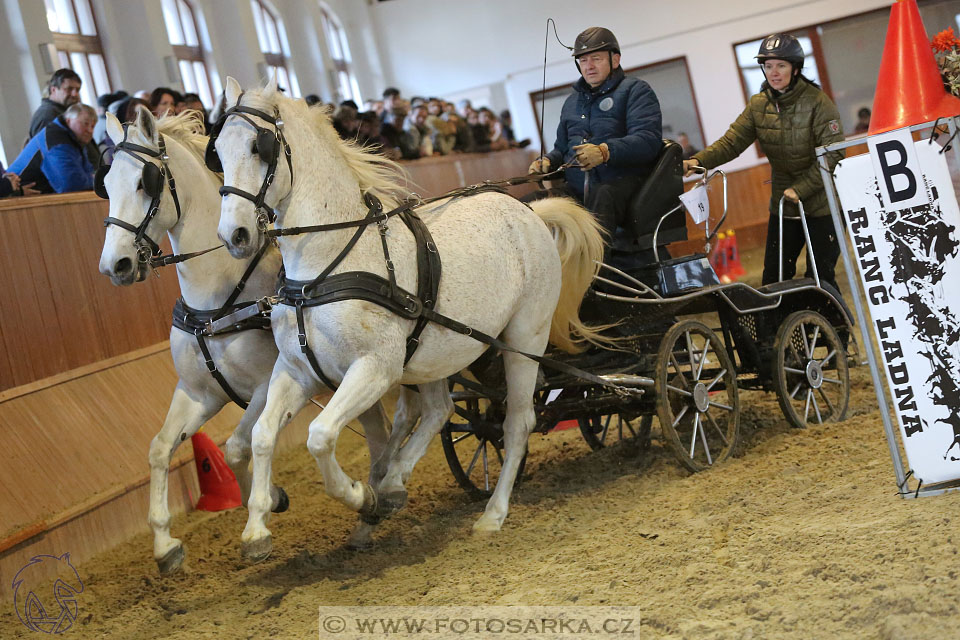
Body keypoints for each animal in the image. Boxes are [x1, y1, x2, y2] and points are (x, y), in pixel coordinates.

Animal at [100, 107, 404, 572]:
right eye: (106, 185)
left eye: (144, 182)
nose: (114, 265)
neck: (216, 301)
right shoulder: (199, 392)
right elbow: (160, 448)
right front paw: (166, 545)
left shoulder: (264, 385)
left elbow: (237, 446)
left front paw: (267, 502)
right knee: (378, 434)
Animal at [216, 79, 608, 560]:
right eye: (217, 151)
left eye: (260, 147)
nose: (234, 236)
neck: (326, 267)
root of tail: (529, 211)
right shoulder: (296, 370)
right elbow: (263, 435)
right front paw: (257, 530)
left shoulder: (375, 368)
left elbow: (320, 435)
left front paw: (359, 494)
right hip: (436, 353)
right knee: (440, 410)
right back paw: (391, 486)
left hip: (524, 341)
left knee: (517, 424)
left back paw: (490, 513)